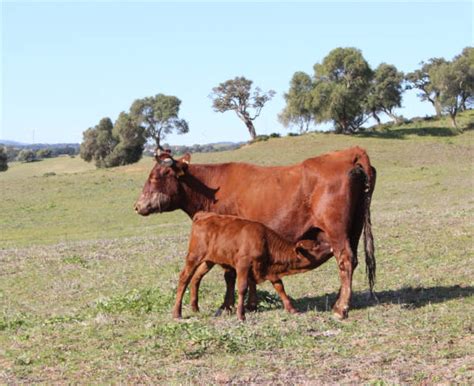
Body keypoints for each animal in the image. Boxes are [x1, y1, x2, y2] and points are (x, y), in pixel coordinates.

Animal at [174, 211, 334, 320]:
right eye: (316, 245)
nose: (331, 245)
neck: (265, 241)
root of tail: (204, 215)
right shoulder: (243, 264)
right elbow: (242, 287)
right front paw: (241, 314)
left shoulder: (267, 269)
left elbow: (279, 286)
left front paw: (292, 309)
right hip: (193, 256)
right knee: (184, 278)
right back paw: (177, 313)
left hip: (209, 261)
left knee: (196, 278)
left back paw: (195, 307)